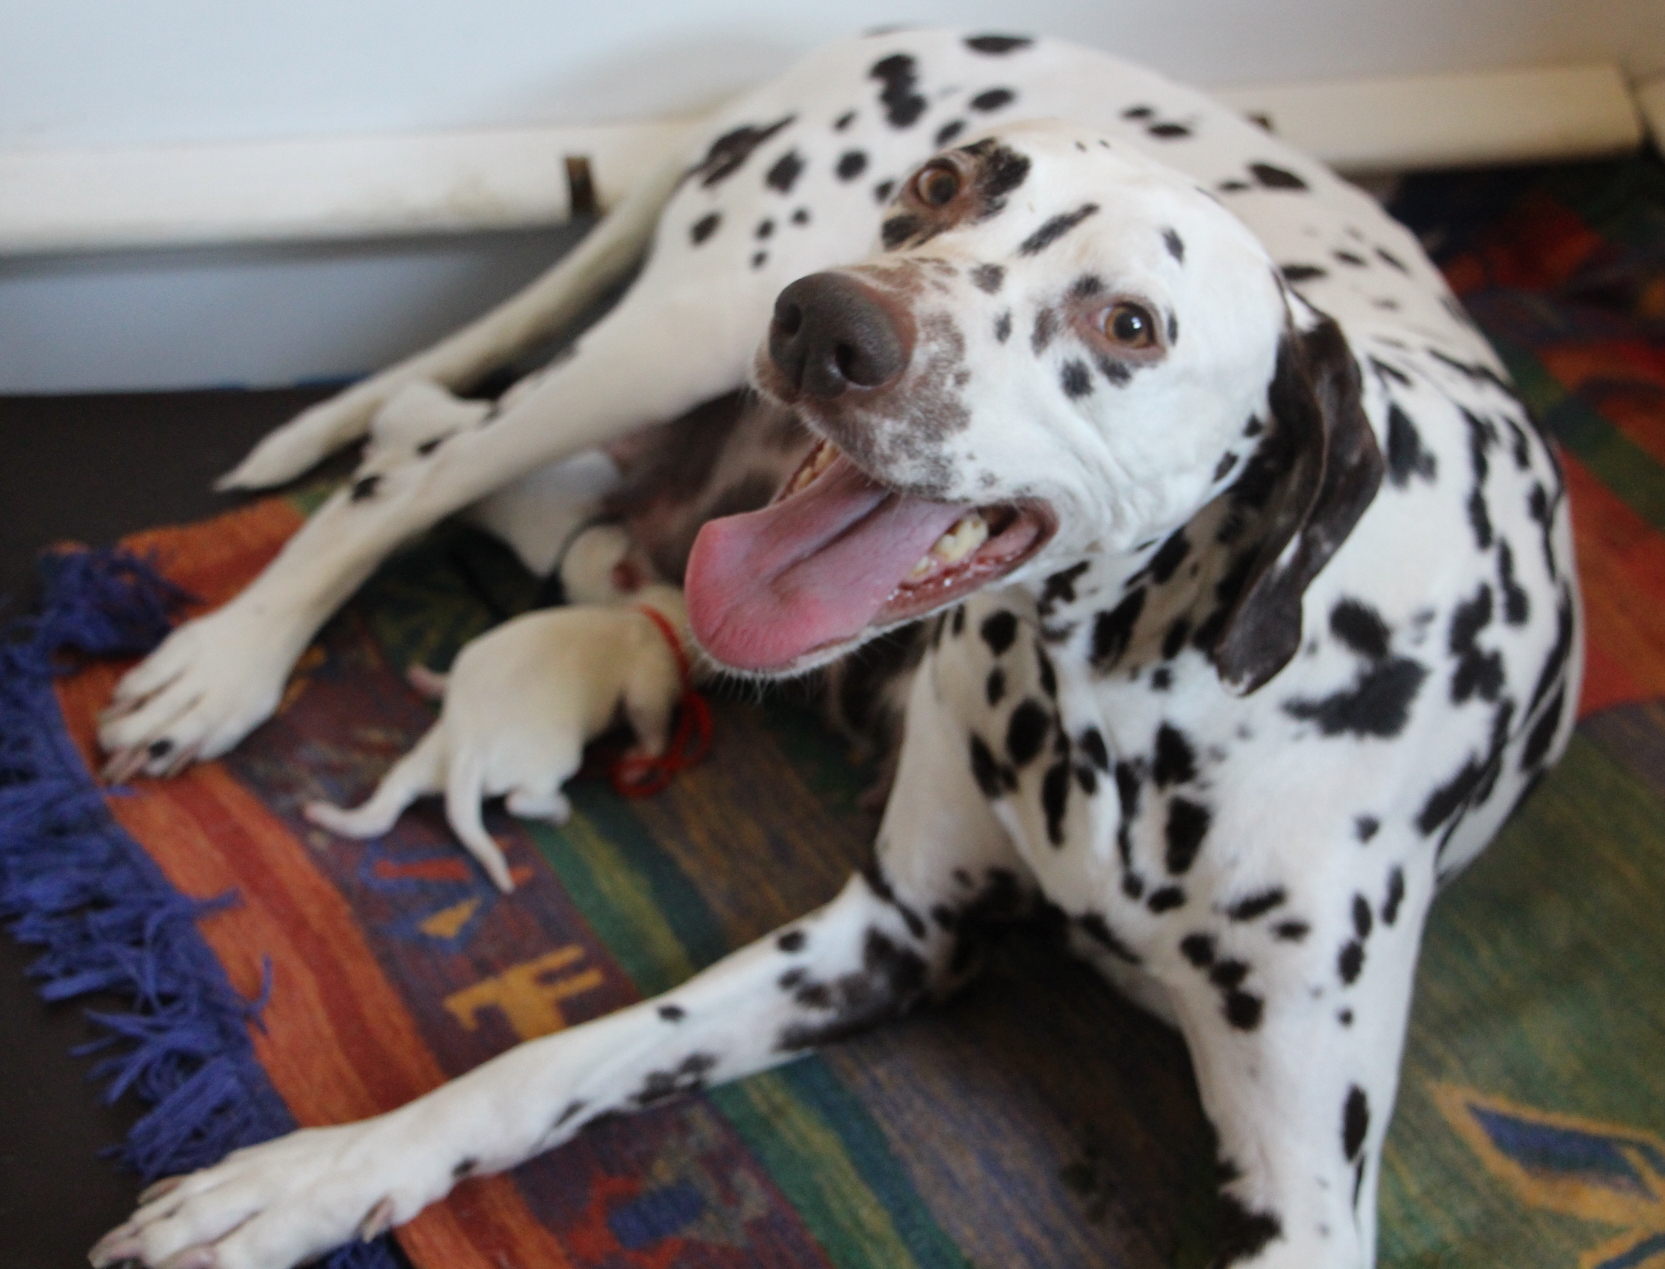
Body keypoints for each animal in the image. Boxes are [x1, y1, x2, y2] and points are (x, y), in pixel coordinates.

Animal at [91, 29, 1581, 1269]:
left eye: (1128, 324)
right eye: (943, 182)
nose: (827, 320)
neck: (1122, 710)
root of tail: (864, 39)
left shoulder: (1299, 1198)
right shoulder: (891, 920)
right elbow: (551, 1063)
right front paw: (311, 1178)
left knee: (471, 469)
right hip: (663, 344)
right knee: (404, 470)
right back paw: (227, 662)